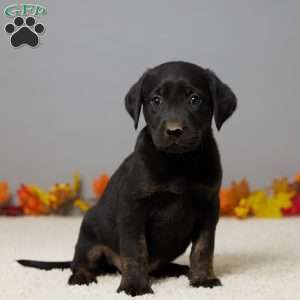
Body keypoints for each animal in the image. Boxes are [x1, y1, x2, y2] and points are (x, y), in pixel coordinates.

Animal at [18, 61, 237, 296]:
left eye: (195, 99)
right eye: (156, 100)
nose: (174, 131)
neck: (177, 162)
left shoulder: (208, 206)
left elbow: (203, 248)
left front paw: (203, 278)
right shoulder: (133, 208)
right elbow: (135, 250)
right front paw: (134, 286)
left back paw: (179, 269)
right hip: (89, 232)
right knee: (80, 262)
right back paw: (82, 277)